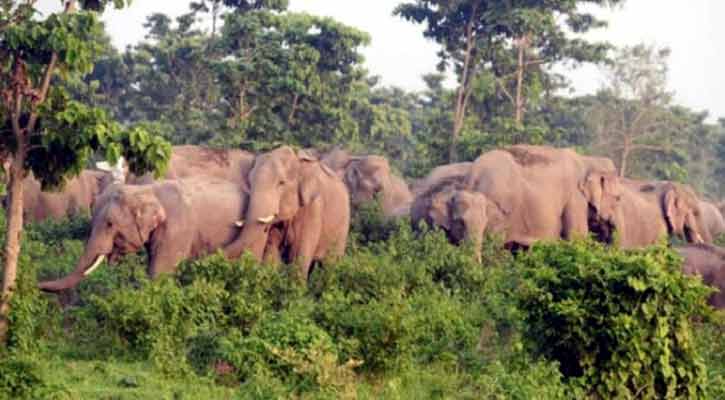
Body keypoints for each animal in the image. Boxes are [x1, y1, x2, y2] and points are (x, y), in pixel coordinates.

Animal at [226, 147, 350, 282]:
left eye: (281, 183)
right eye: (250, 182)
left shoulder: (313, 207)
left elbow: (298, 256)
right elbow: (271, 253)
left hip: (343, 226)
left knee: (330, 264)